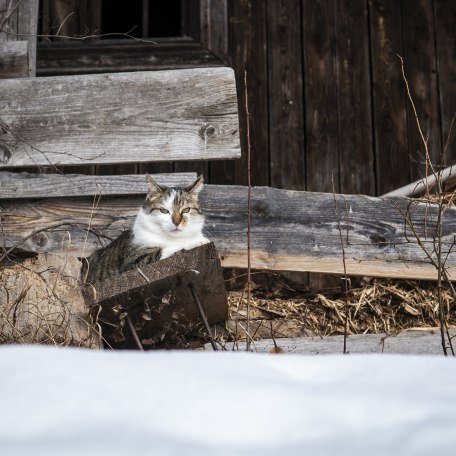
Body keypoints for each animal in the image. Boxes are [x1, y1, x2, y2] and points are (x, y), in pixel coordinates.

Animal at [81, 175, 209, 284]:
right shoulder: (132, 264)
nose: (177, 222)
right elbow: (163, 251)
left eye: (186, 210)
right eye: (164, 211)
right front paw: (197, 241)